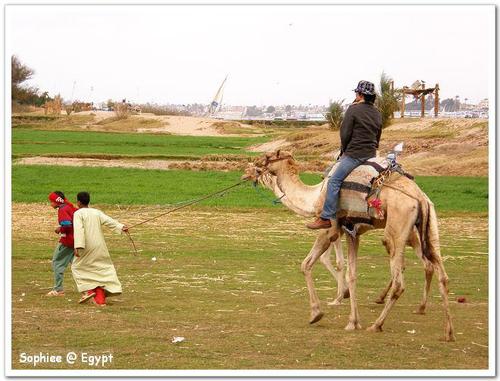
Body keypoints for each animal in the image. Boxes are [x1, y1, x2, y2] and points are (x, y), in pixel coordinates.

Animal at [248, 150, 456, 340]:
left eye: (267, 158)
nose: (249, 170)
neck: (314, 197)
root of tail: (420, 199)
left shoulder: (330, 229)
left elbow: (308, 264)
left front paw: (317, 313)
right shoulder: (351, 232)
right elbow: (352, 273)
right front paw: (352, 320)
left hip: (397, 230)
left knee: (400, 280)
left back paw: (377, 324)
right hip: (429, 228)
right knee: (441, 274)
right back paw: (447, 331)